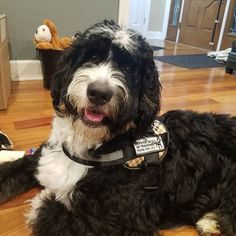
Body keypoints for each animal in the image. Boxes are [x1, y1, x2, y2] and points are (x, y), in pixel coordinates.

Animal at [0, 20, 236, 236]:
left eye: (128, 68)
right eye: (93, 57)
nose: (99, 93)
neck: (91, 143)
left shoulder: (115, 218)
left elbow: (43, 209)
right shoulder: (43, 157)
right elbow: (15, 168)